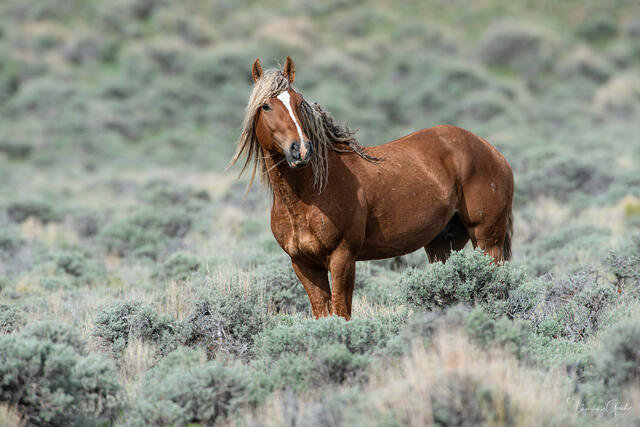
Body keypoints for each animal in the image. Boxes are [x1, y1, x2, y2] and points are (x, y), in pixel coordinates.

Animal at [231, 56, 514, 320]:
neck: (307, 195)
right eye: (266, 105)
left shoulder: (343, 258)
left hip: (487, 241)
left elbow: (342, 313)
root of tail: (493, 152)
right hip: (441, 245)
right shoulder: (303, 264)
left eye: (299, 102)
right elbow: (323, 313)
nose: (300, 149)